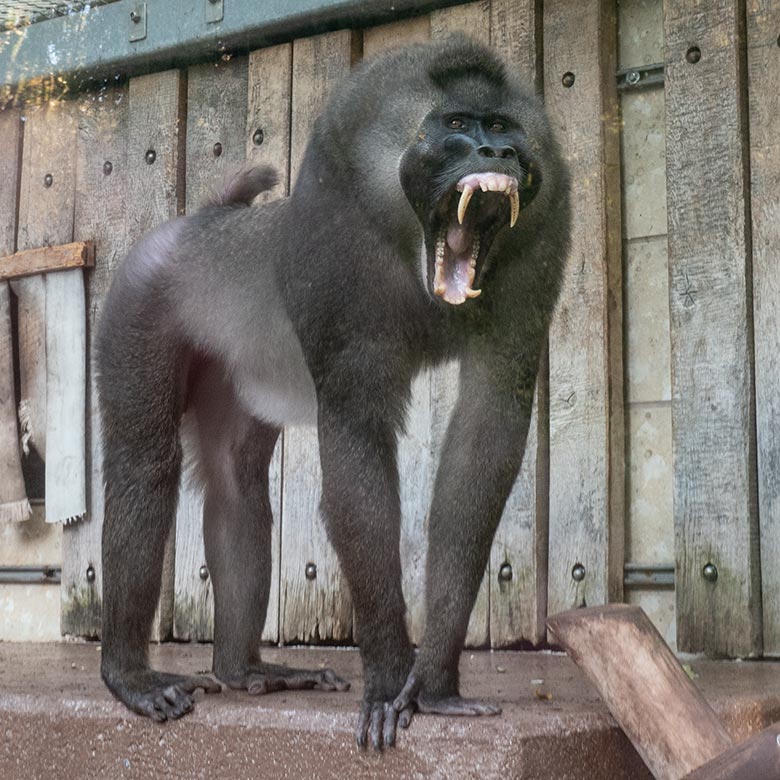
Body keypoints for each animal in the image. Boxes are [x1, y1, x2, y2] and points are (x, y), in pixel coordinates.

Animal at [99, 35, 568, 748]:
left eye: (504, 126)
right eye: (459, 125)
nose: (499, 155)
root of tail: (195, 225)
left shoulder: (539, 247)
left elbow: (484, 439)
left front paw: (434, 683)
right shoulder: (336, 253)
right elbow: (356, 449)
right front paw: (389, 678)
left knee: (237, 486)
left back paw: (244, 669)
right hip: (140, 305)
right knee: (143, 466)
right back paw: (129, 675)